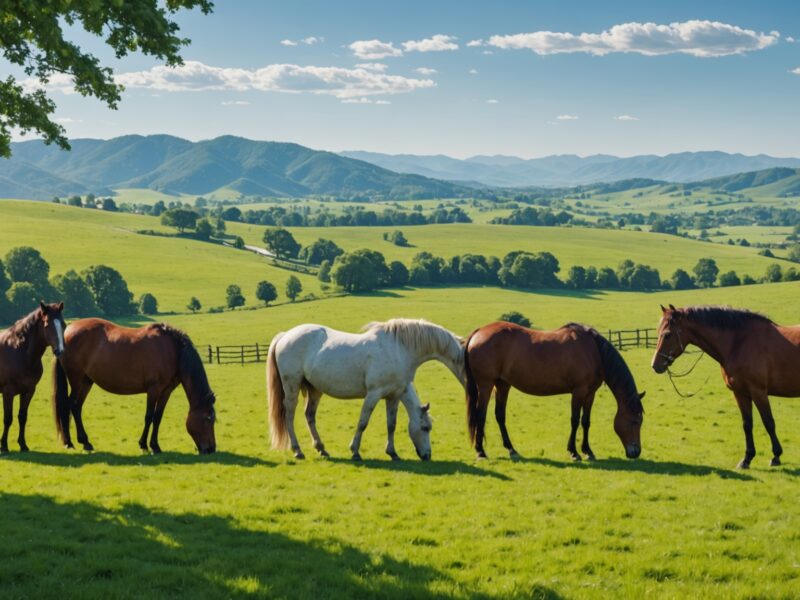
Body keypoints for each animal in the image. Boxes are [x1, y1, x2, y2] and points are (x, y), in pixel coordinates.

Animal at [0, 302, 66, 452]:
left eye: (64, 325)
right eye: (47, 324)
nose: (60, 351)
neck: (19, 351)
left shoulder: (29, 391)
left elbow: (22, 417)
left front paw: (23, 444)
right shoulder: (8, 392)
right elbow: (8, 418)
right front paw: (4, 446)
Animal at [52, 319, 216, 454]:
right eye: (208, 418)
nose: (211, 449)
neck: (173, 350)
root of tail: (67, 331)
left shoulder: (166, 391)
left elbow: (158, 417)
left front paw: (155, 446)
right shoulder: (153, 389)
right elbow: (149, 416)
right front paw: (143, 444)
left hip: (86, 382)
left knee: (76, 407)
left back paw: (85, 442)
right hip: (76, 380)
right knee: (69, 405)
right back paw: (69, 442)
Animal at [267, 318, 465, 461]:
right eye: (425, 428)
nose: (427, 456)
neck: (399, 349)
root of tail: (285, 335)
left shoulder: (393, 396)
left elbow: (391, 425)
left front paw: (392, 453)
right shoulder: (373, 394)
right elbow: (363, 422)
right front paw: (355, 451)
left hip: (315, 390)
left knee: (309, 415)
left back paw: (321, 449)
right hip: (292, 387)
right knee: (289, 416)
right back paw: (297, 450)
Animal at [464, 321, 645, 460]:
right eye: (635, 421)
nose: (636, 452)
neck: (594, 351)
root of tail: (478, 332)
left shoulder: (590, 394)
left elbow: (586, 422)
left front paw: (588, 451)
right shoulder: (579, 392)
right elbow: (575, 420)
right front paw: (574, 452)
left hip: (502, 384)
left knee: (500, 415)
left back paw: (511, 449)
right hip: (486, 385)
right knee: (481, 415)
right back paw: (481, 451)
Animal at [652, 304, 800, 469]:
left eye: (667, 335)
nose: (655, 365)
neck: (739, 343)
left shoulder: (758, 392)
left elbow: (768, 422)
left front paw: (776, 456)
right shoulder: (741, 393)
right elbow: (747, 424)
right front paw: (747, 458)